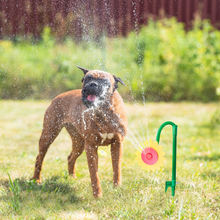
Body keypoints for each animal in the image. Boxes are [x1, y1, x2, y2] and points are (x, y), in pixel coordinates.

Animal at [31, 65, 127, 198]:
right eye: (87, 78)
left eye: (105, 81)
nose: (92, 84)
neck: (103, 111)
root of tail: (58, 96)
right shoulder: (91, 146)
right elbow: (94, 173)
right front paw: (97, 195)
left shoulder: (117, 144)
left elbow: (116, 168)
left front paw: (117, 187)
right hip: (48, 135)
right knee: (39, 158)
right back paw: (36, 180)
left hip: (79, 143)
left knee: (70, 158)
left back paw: (72, 178)